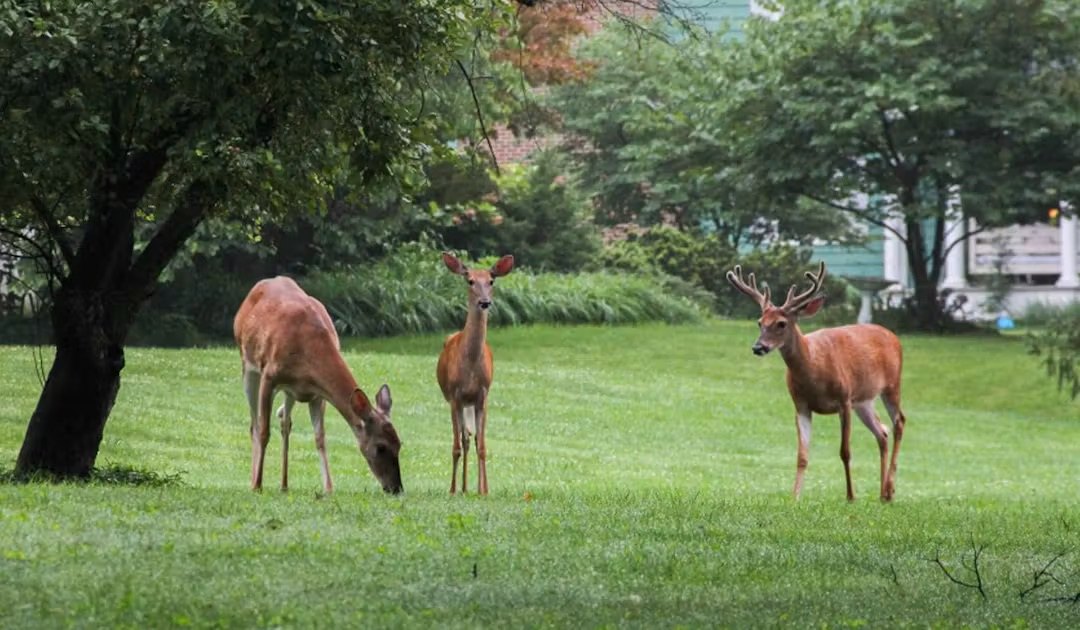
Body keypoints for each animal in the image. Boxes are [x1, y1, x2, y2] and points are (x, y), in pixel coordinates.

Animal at [233, 276, 402, 494]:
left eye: (399, 444)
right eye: (381, 447)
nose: (396, 488)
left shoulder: (318, 394)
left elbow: (320, 437)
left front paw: (328, 488)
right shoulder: (269, 376)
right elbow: (263, 431)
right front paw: (257, 485)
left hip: (289, 391)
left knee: (286, 423)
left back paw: (284, 485)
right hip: (248, 365)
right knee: (254, 424)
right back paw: (255, 481)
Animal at [436, 251, 515, 495]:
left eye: (491, 281)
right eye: (470, 280)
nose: (485, 302)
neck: (470, 365)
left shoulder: (482, 396)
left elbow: (483, 446)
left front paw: (484, 490)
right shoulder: (455, 396)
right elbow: (456, 446)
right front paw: (452, 490)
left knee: (473, 438)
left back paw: (473, 487)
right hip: (460, 403)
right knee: (464, 439)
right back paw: (461, 488)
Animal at [726, 261, 907, 502]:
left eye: (781, 323)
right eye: (759, 322)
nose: (758, 347)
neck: (814, 370)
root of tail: (893, 336)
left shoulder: (844, 399)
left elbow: (845, 451)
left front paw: (850, 496)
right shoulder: (801, 405)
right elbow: (802, 455)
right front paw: (794, 497)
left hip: (892, 385)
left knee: (899, 422)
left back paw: (890, 488)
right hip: (864, 401)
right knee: (882, 432)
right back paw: (883, 493)